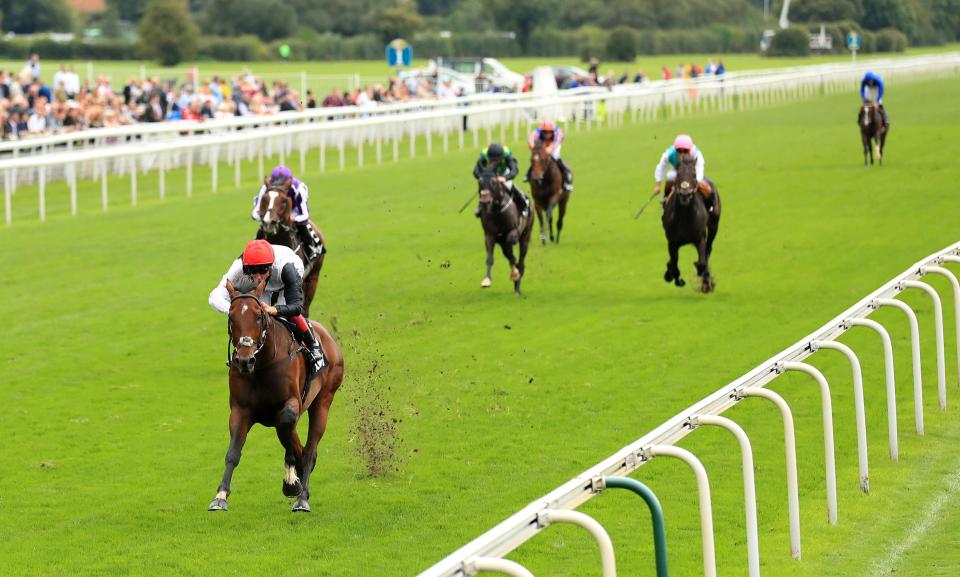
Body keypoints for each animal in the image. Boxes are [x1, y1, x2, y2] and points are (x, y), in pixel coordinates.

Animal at [206, 276, 344, 510]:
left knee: (309, 447)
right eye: (232, 317)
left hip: (323, 401)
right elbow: (233, 453)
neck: (262, 364)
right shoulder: (240, 410)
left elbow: (294, 435)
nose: (245, 360)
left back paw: (302, 497)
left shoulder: (292, 403)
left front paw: (294, 483)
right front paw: (220, 496)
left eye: (259, 315)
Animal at [478, 164, 536, 294]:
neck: (497, 210)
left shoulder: (512, 233)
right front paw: (487, 280)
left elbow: (512, 251)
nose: (484, 199)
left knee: (521, 261)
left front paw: (515, 275)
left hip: (526, 235)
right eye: (480, 181)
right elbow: (490, 258)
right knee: (510, 255)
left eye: (494, 181)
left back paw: (517, 288)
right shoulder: (490, 236)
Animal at [664, 154, 724, 292]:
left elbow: (702, 262)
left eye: (694, 174)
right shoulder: (672, 242)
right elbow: (674, 261)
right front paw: (675, 277)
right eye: (678, 174)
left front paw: (706, 282)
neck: (685, 216)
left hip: (714, 225)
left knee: (708, 249)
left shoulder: (699, 238)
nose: (685, 193)